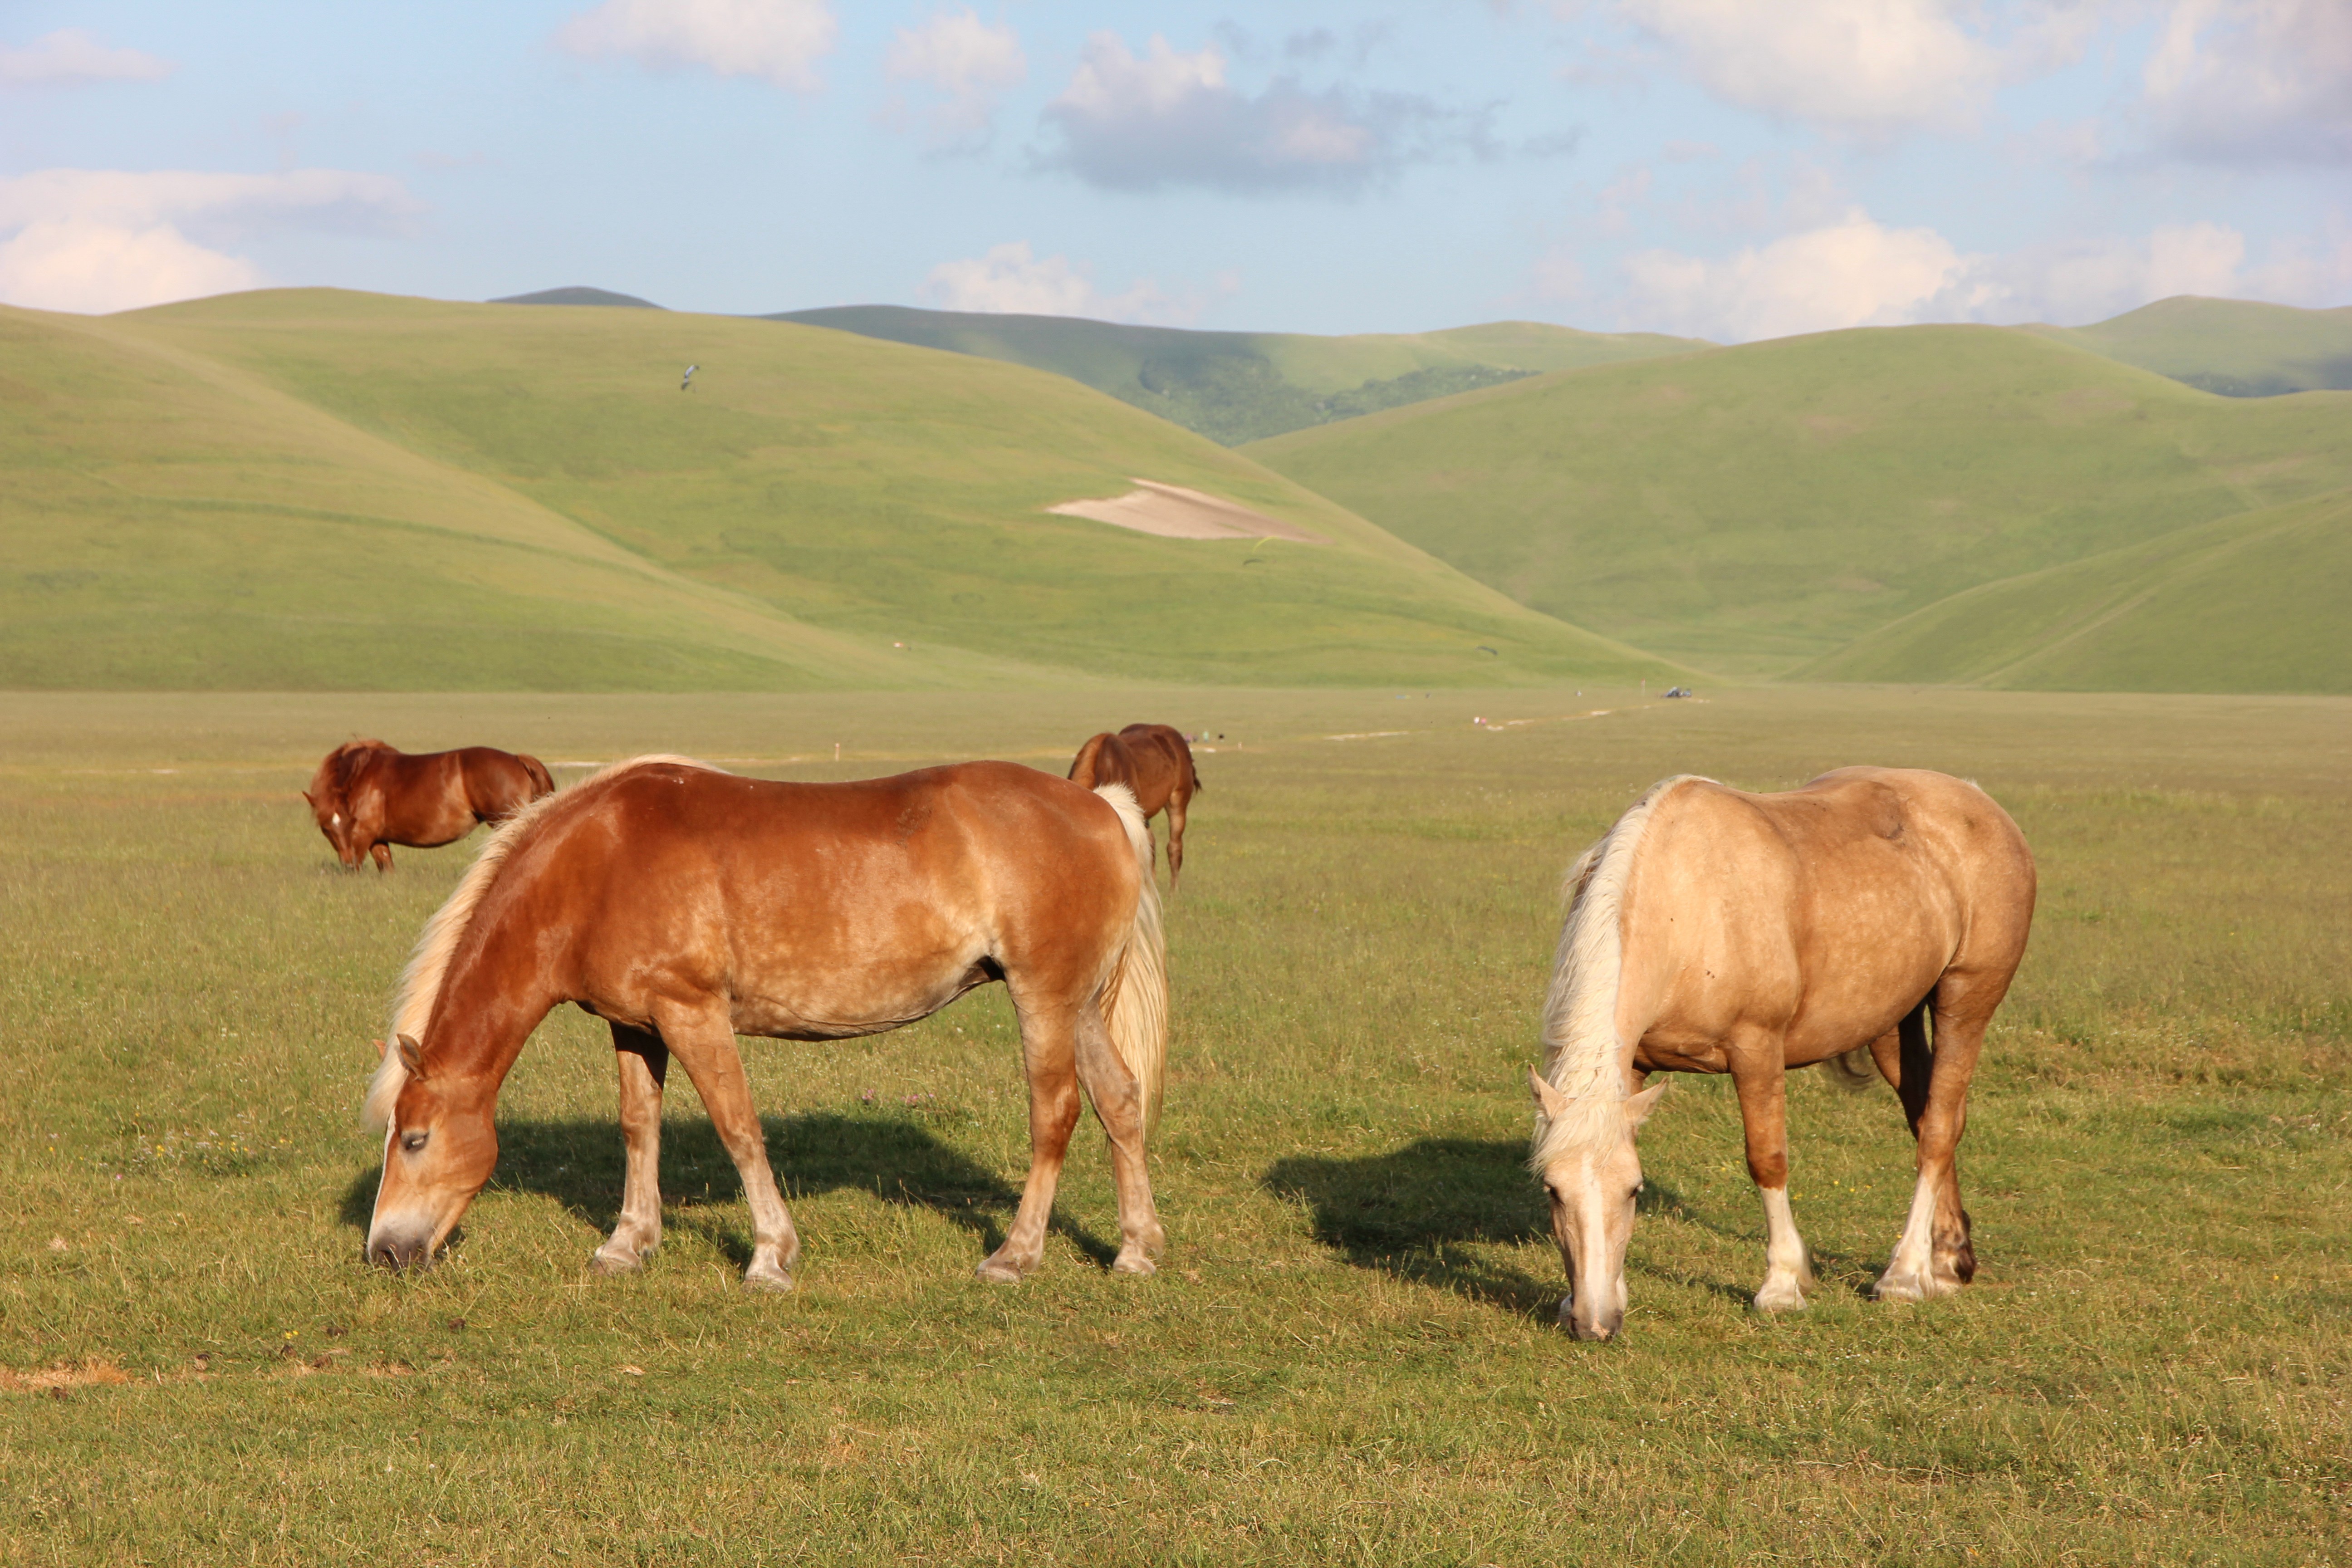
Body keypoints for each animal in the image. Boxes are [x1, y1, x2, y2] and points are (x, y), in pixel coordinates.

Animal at [304, 740, 554, 872]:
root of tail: (518, 759)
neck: (361, 776)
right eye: (326, 828)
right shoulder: (378, 840)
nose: (346, 865)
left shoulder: (363, 837)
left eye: (349, 823)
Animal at [364, 756, 1169, 1290]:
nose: (382, 1252)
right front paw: (628, 1243)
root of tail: (1103, 808)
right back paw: (1135, 1248)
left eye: (416, 1139)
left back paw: (1015, 1255)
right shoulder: (636, 1027)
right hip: (1078, 1007)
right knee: (1120, 1102)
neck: (596, 866)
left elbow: (737, 1127)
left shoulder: (692, 1013)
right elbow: (638, 1127)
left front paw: (771, 1255)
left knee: (1055, 1114)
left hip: (1043, 999)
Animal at [1527, 767, 2035, 1341]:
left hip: (1965, 1001)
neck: (1688, 903)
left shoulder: (1757, 1050)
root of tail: (1978, 800)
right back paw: (1947, 1259)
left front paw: (1783, 1285)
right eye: (1552, 1190)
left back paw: (1904, 1275)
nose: (1592, 1323)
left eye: (1635, 1191)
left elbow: (1767, 1160)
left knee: (1938, 1130)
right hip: (1891, 1022)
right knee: (1928, 1114)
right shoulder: (1633, 1066)